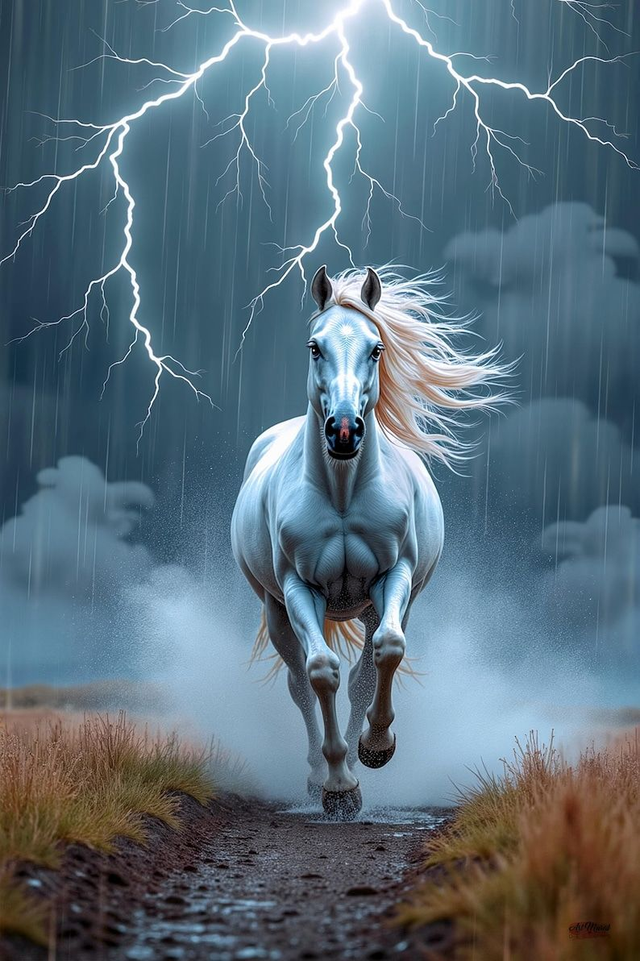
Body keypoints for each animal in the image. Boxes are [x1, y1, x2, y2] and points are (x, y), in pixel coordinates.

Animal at [231, 265, 506, 818]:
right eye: (314, 347)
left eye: (376, 348)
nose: (343, 430)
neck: (341, 494)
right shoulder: (298, 590)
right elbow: (320, 673)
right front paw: (338, 787)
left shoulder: (392, 578)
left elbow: (386, 654)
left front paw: (376, 749)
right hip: (275, 608)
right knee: (300, 685)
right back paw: (317, 776)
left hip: (378, 604)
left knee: (363, 672)